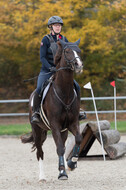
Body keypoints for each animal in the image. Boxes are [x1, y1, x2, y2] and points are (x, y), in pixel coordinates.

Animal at [21, 38, 83, 181]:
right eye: (67, 51)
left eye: (78, 51)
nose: (79, 65)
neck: (64, 93)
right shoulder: (55, 125)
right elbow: (59, 148)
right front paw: (62, 173)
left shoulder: (72, 123)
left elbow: (78, 139)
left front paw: (72, 163)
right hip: (37, 130)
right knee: (40, 152)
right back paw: (42, 177)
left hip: (63, 131)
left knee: (63, 146)